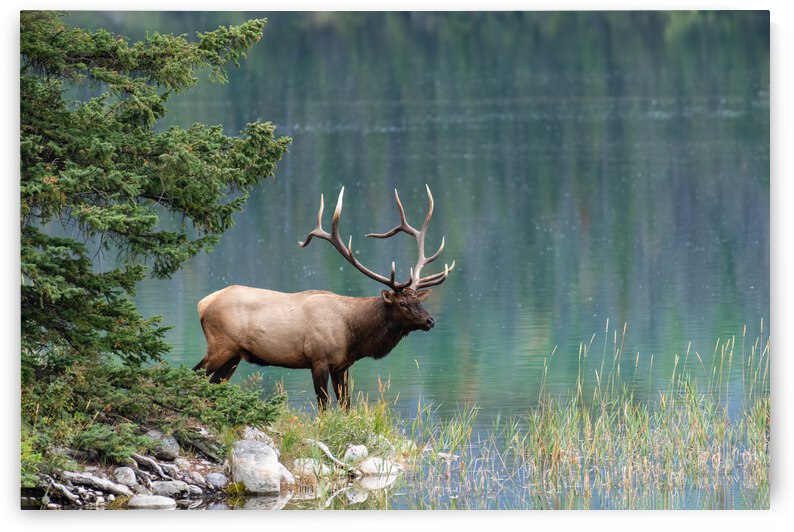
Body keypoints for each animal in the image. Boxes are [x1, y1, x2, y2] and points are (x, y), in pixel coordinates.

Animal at [192, 185, 455, 410]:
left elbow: (347, 406)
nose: (430, 321)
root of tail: (202, 303)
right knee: (195, 373)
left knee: (213, 382)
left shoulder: (343, 366)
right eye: (402, 303)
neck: (354, 334)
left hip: (234, 355)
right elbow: (323, 406)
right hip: (220, 346)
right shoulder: (318, 360)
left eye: (420, 301)